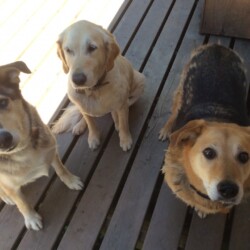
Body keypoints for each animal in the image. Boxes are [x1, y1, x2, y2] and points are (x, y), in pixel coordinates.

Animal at [0, 61, 83, 230]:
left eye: (2, 102)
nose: (3, 140)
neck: (22, 152)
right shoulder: (11, 187)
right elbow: (22, 203)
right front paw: (31, 218)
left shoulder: (52, 152)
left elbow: (61, 169)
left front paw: (71, 181)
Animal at [52, 20, 146, 150]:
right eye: (68, 50)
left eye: (92, 48)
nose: (78, 80)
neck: (94, 90)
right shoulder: (83, 106)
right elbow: (90, 123)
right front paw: (93, 137)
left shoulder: (122, 105)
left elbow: (123, 124)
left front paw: (125, 139)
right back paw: (80, 125)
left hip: (140, 80)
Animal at [159, 44, 250, 218]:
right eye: (208, 152)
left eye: (244, 156)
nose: (229, 190)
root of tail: (217, 46)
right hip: (181, 91)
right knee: (174, 111)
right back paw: (166, 129)